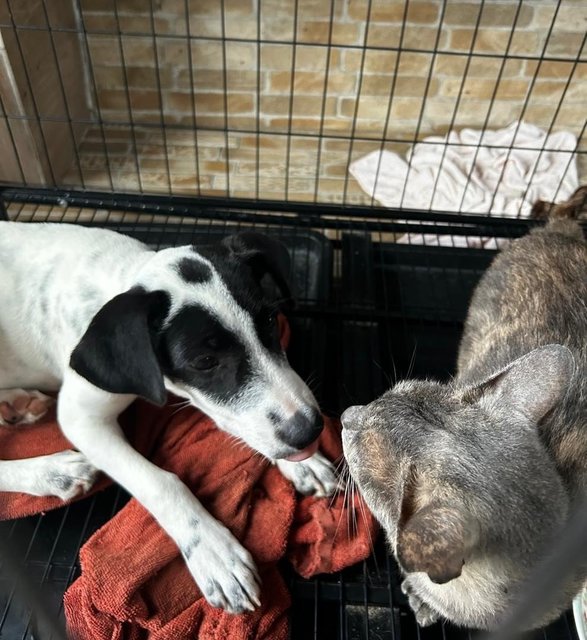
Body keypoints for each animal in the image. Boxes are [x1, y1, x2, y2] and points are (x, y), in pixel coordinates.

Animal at [0, 221, 338, 616]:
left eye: (269, 320)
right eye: (204, 361)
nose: (309, 430)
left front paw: (304, 464)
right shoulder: (81, 417)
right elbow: (162, 482)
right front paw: (213, 551)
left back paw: (16, 404)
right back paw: (52, 471)